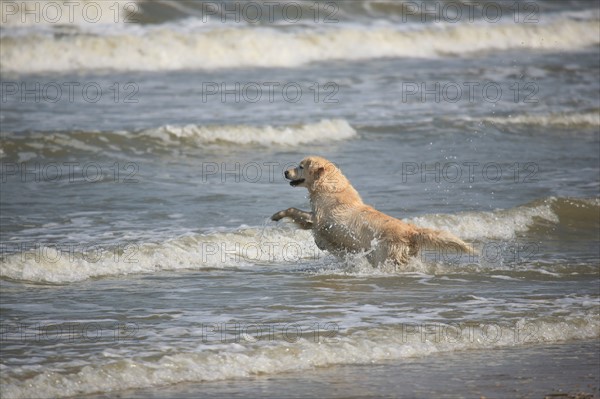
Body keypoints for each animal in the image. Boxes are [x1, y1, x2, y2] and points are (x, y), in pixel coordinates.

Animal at [270, 158, 474, 268]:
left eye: (301, 166)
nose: (285, 172)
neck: (328, 186)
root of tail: (410, 231)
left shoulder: (320, 218)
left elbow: (295, 211)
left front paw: (277, 215)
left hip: (385, 253)